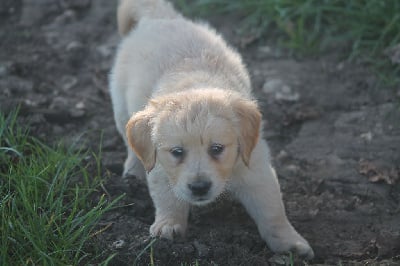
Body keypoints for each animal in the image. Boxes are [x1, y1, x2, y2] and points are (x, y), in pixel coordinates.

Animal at [109, 0, 312, 258]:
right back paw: (133, 172)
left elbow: (272, 211)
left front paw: (289, 244)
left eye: (217, 149)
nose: (199, 187)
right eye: (177, 152)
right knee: (132, 147)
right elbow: (167, 198)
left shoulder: (255, 167)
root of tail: (160, 17)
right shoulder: (162, 168)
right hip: (121, 108)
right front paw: (168, 225)